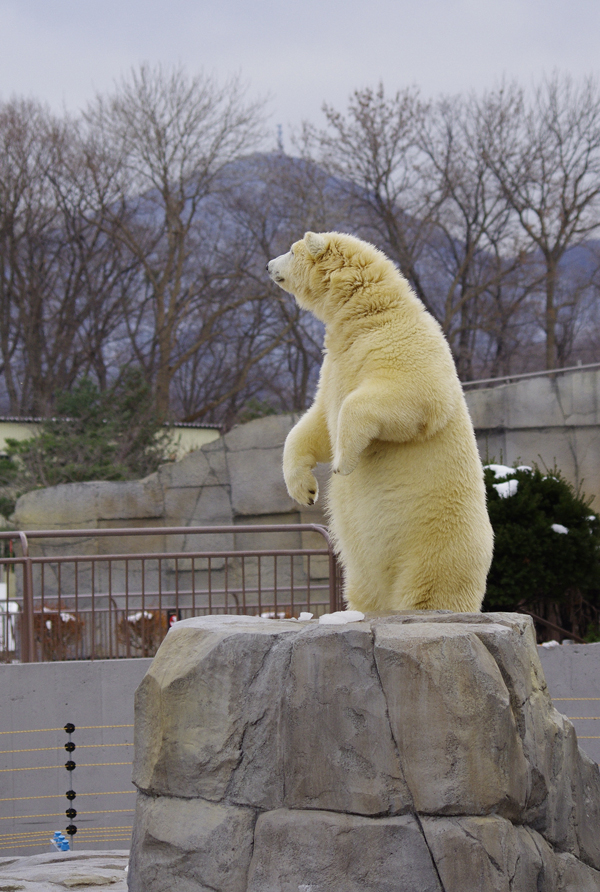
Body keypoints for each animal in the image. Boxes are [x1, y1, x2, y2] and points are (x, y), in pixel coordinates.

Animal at [268, 230, 492, 612]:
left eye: (292, 250)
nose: (268, 265)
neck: (369, 313)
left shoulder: (402, 344)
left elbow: (409, 394)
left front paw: (344, 463)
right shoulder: (335, 365)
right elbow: (317, 423)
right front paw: (305, 489)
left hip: (436, 546)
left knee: (429, 591)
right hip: (360, 570)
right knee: (363, 590)